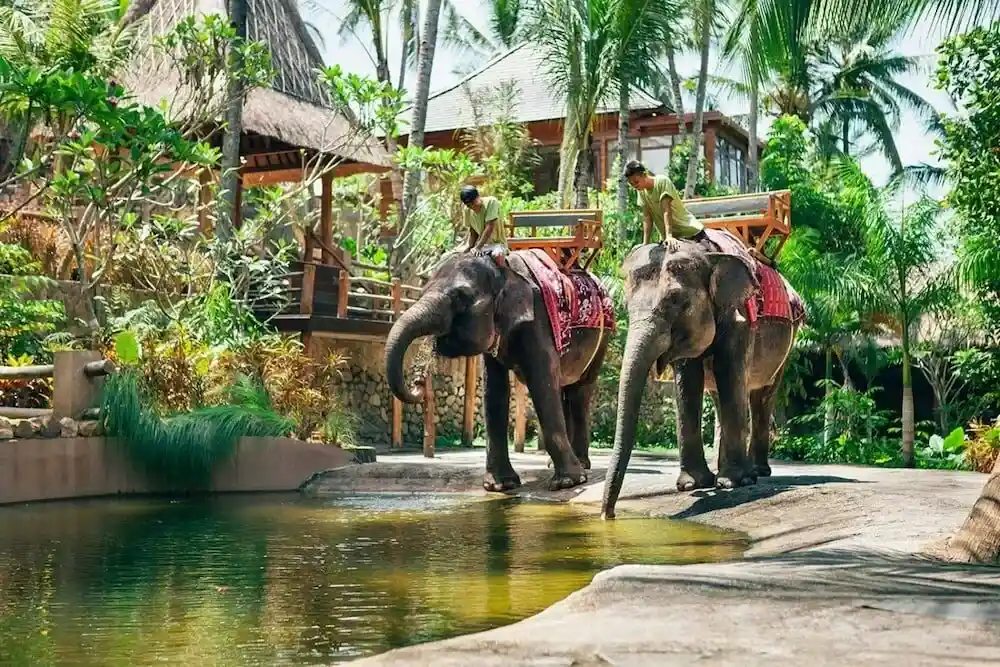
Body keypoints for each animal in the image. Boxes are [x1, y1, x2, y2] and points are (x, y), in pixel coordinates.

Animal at [385, 246, 611, 492]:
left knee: (580, 391)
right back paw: (559, 464)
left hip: (603, 338)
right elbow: (494, 391)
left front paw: (567, 483)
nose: (417, 383)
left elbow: (542, 385)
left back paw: (581, 465)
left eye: (460, 297)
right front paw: (501, 486)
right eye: (424, 290)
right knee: (565, 389)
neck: (504, 271)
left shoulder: (538, 321)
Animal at [601, 239, 802, 519]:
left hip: (788, 342)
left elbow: (730, 374)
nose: (607, 515)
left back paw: (756, 472)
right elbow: (688, 383)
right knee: (720, 396)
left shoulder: (740, 318)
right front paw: (692, 485)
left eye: (675, 300)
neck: (706, 254)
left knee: (761, 395)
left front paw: (734, 483)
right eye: (627, 304)